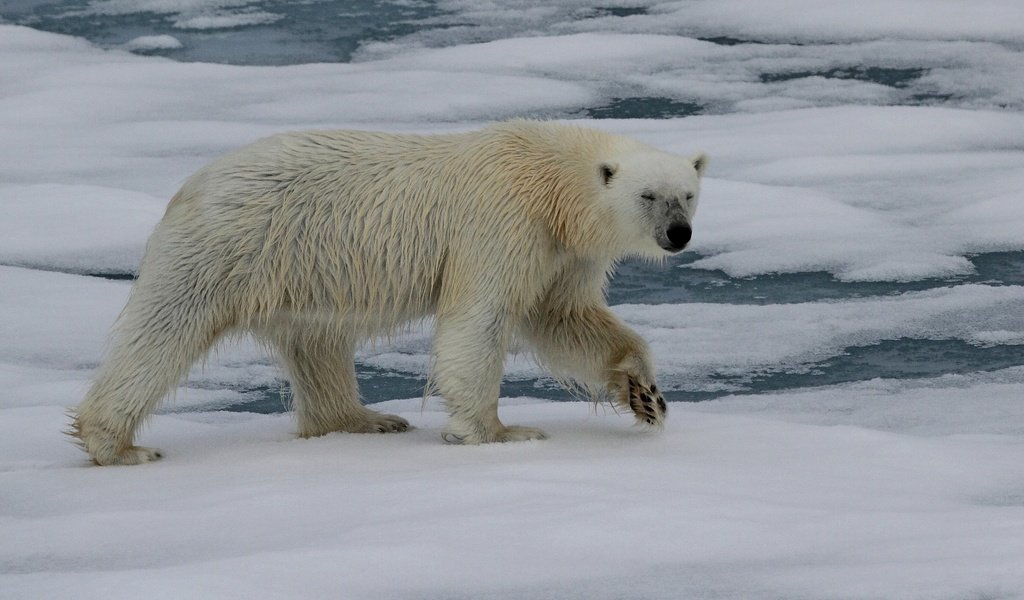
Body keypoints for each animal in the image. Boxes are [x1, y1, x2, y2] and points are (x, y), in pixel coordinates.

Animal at [68, 119, 708, 464]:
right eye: (649, 195)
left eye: (689, 193)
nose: (678, 234)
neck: (550, 179)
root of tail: (191, 183)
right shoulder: (501, 220)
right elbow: (481, 320)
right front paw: (498, 432)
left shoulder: (563, 252)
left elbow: (565, 318)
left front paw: (646, 395)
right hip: (232, 245)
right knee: (164, 330)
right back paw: (117, 444)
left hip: (302, 268)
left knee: (318, 342)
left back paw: (364, 419)